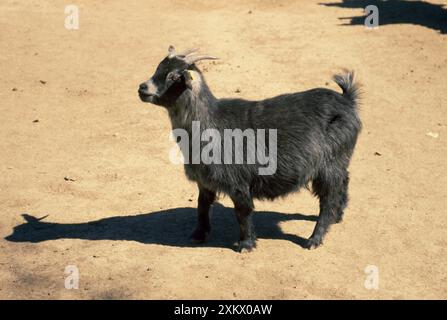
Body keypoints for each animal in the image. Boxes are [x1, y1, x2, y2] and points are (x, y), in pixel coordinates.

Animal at [138, 46, 362, 252]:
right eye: (158, 67)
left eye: (174, 76)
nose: (142, 88)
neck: (209, 122)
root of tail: (347, 100)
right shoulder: (205, 180)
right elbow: (202, 206)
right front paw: (198, 235)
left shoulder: (238, 181)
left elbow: (242, 211)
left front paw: (246, 244)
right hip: (340, 161)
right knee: (344, 182)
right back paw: (338, 215)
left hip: (328, 165)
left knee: (327, 200)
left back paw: (314, 239)